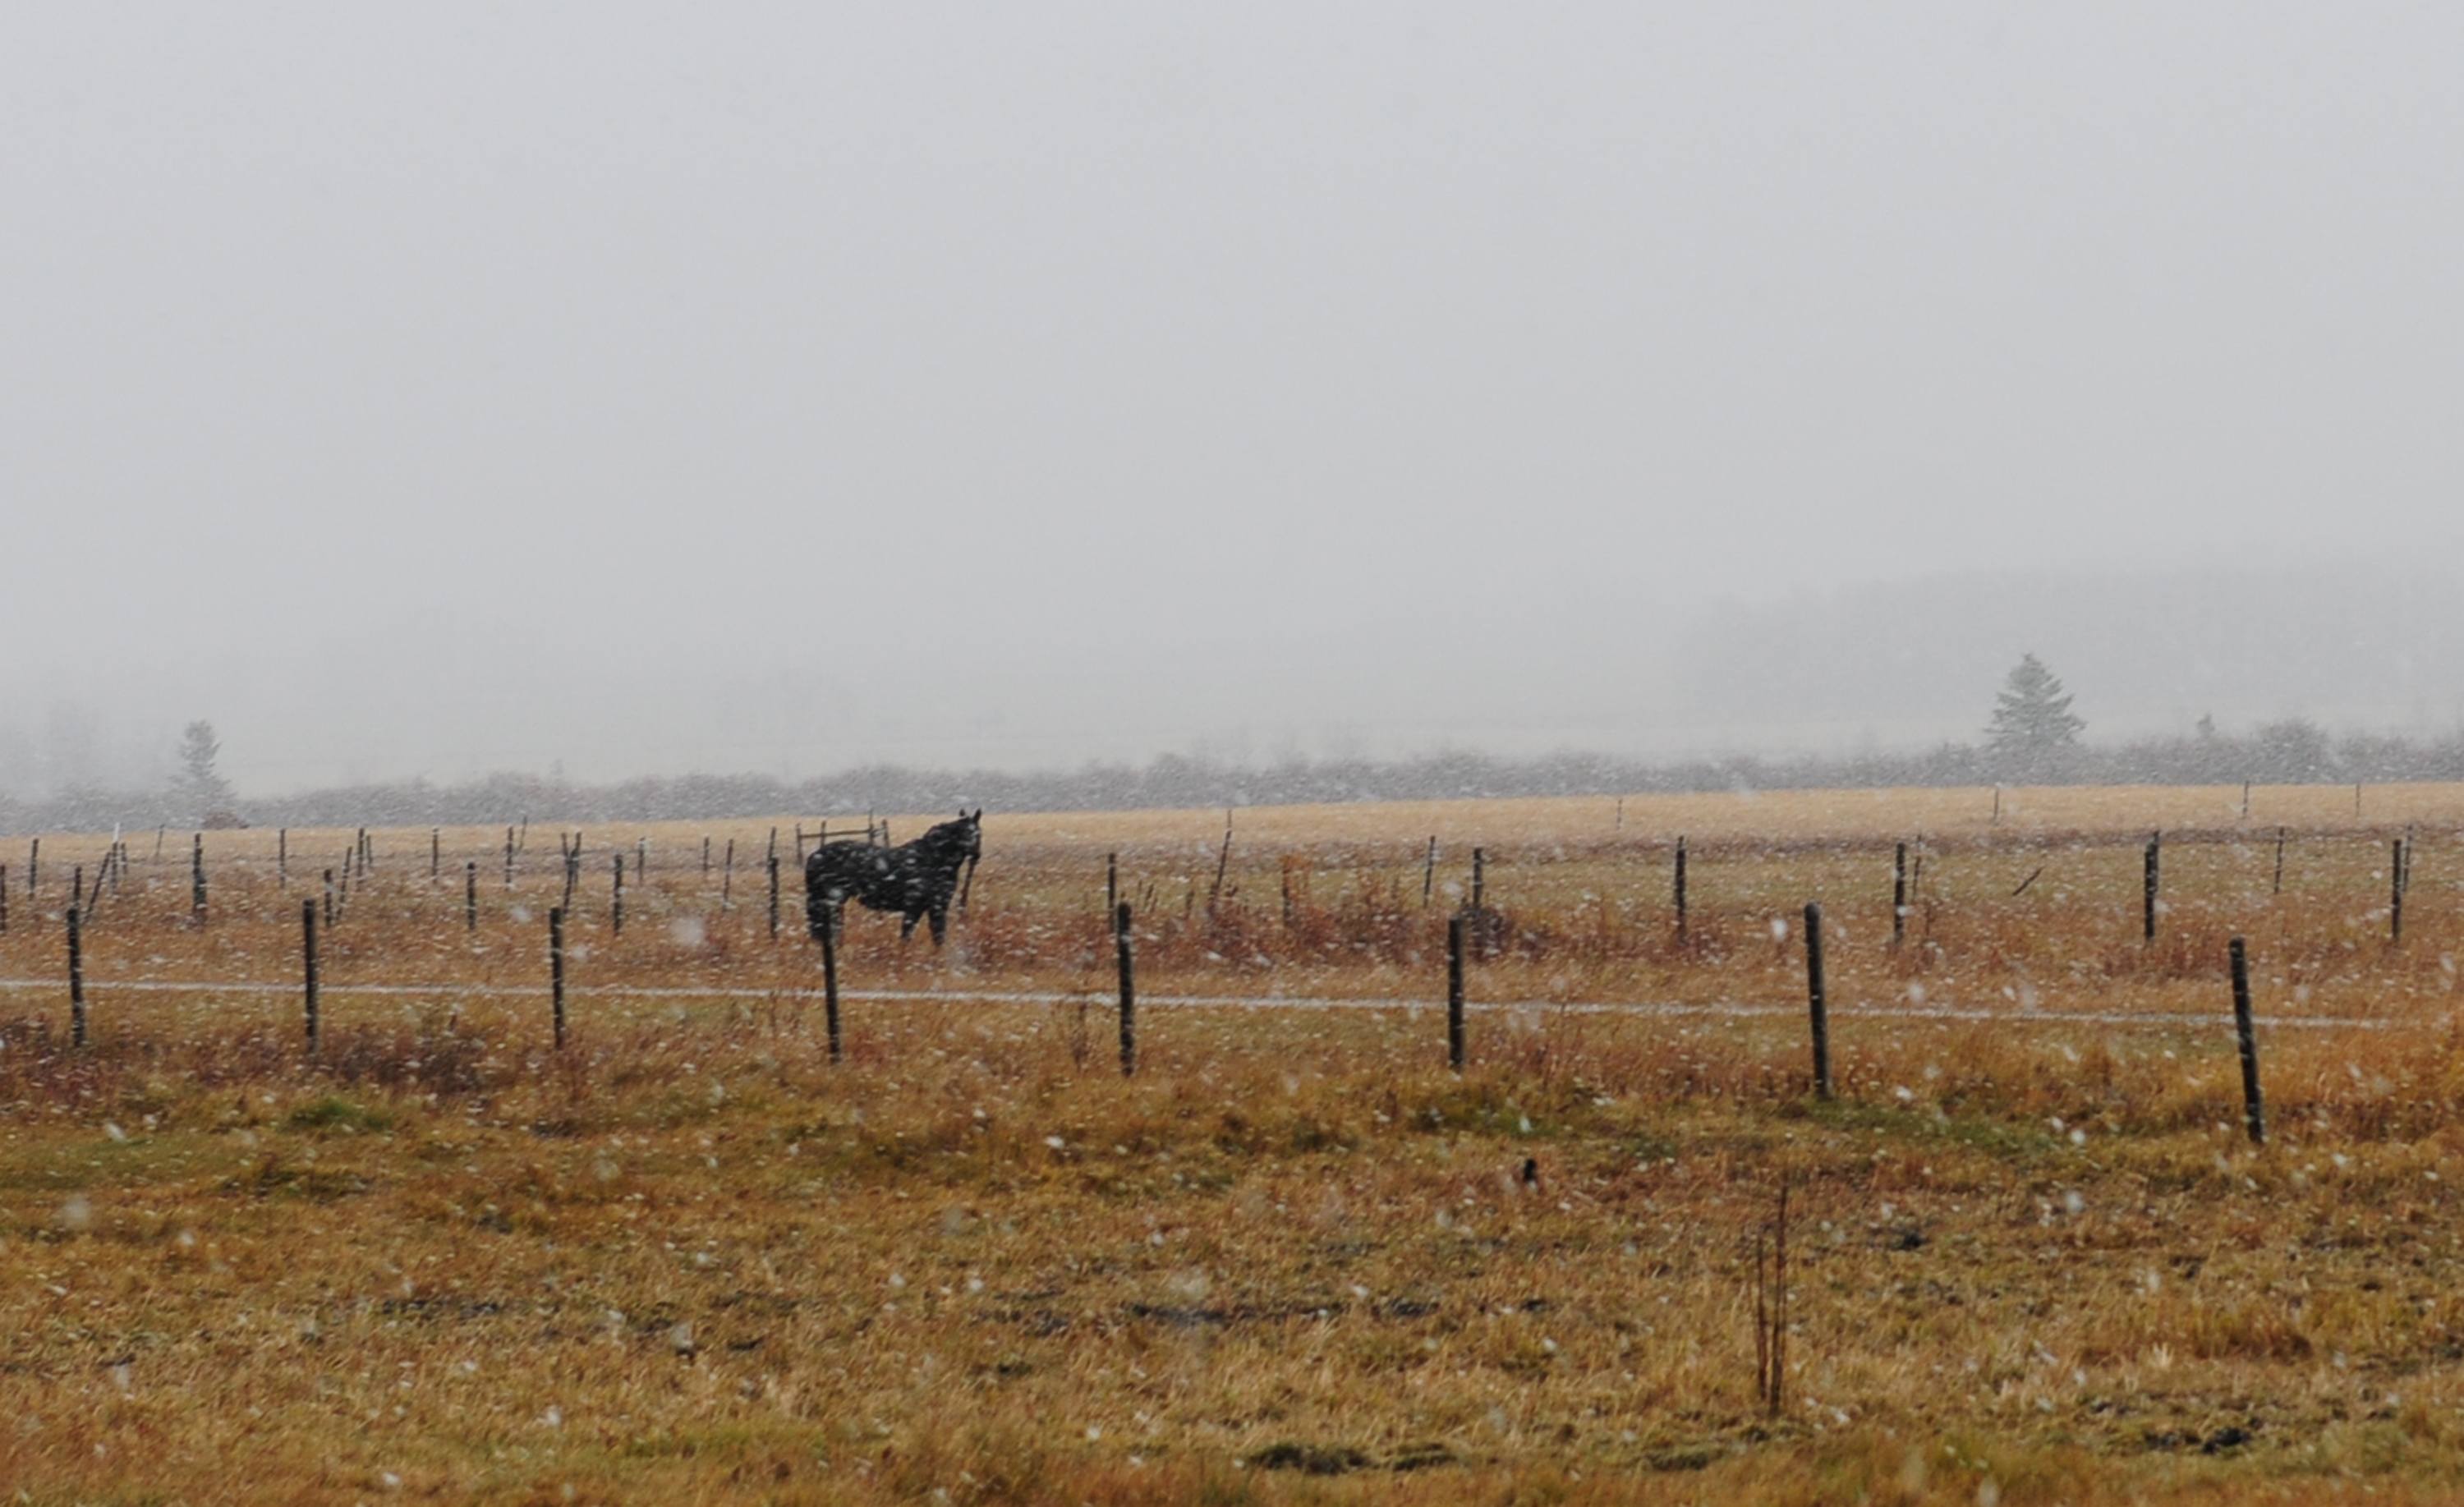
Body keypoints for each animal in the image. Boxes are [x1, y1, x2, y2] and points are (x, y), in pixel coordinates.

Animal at [798, 812, 971, 940]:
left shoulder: (934, 908)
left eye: (974, 832)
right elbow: (909, 935)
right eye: (965, 833)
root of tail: (815, 855)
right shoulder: (918, 907)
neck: (932, 859)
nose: (975, 855)